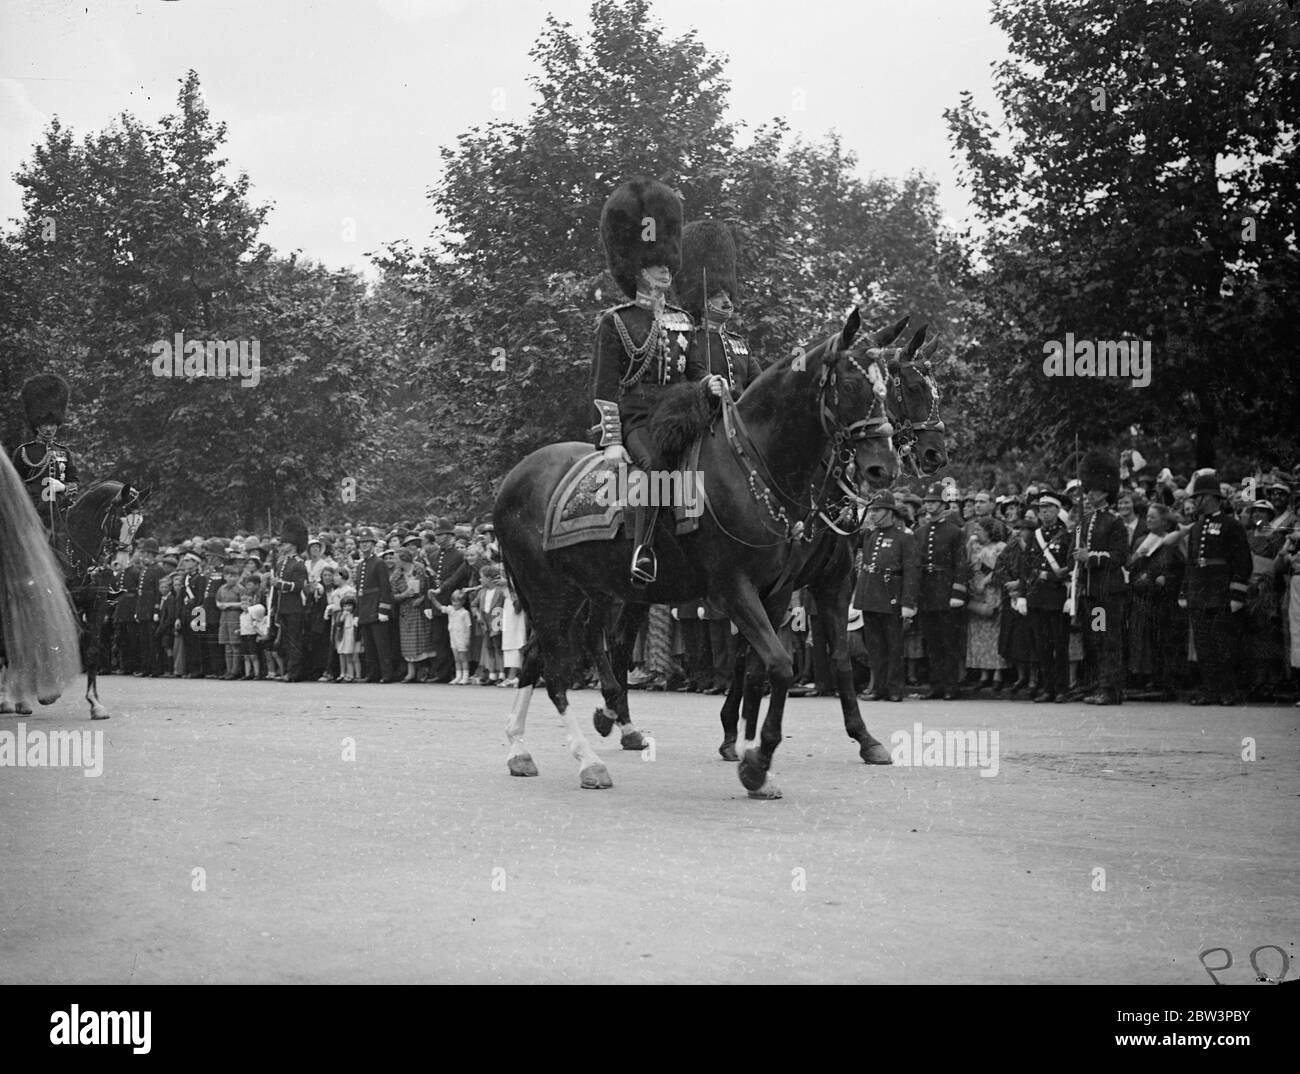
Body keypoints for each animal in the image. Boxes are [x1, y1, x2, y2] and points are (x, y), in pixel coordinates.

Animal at [0, 478, 149, 717]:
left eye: (139, 523)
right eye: (120, 518)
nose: (120, 563)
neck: (76, 551)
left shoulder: (97, 604)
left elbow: (91, 650)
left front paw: (95, 703)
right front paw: (49, 694)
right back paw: (10, 699)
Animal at [493, 308, 904, 795]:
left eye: (890, 386)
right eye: (853, 384)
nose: (883, 467)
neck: (753, 466)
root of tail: (515, 477)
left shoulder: (784, 591)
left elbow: (771, 668)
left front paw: (755, 755)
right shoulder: (732, 589)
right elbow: (780, 665)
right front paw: (755, 761)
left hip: (574, 593)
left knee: (538, 657)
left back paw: (522, 749)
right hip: (549, 591)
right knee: (556, 670)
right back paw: (589, 760)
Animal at [717, 326, 951, 759]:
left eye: (936, 391)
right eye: (912, 387)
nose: (935, 455)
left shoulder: (833, 583)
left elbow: (838, 657)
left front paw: (864, 737)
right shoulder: (772, 586)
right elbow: (753, 655)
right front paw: (738, 728)